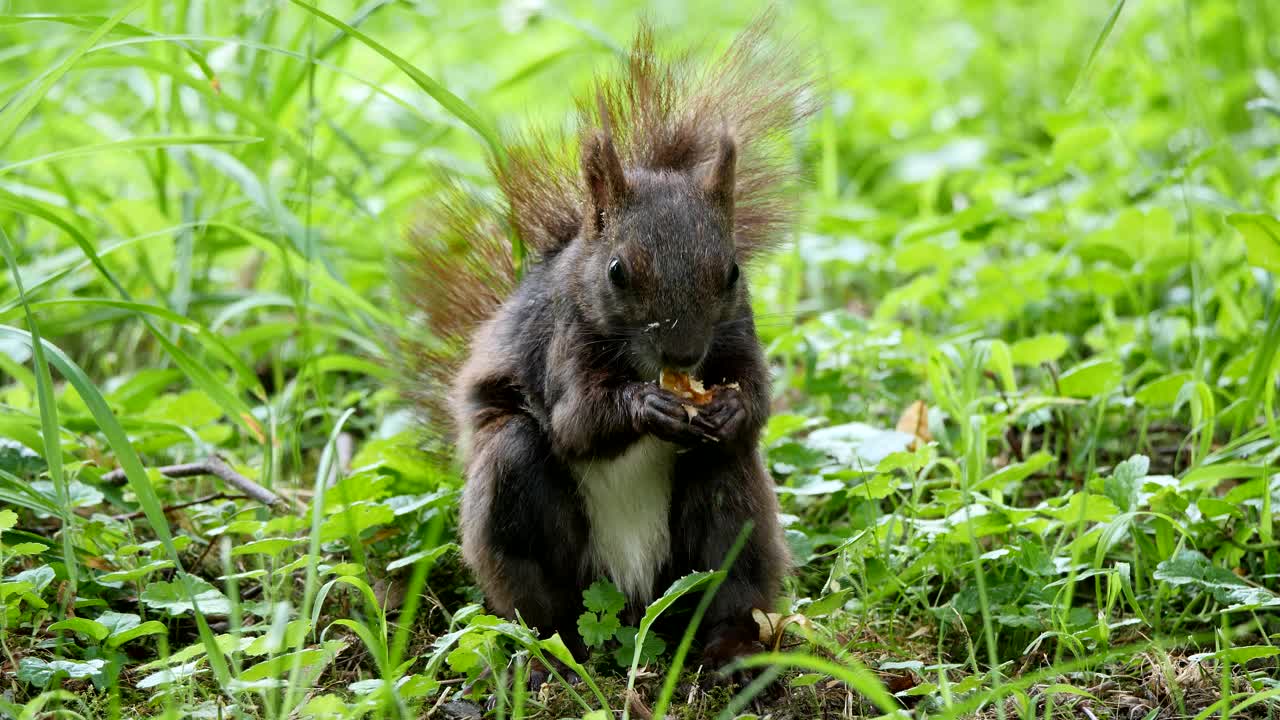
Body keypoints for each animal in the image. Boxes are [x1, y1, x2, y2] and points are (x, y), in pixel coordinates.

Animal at [404, 14, 814, 681]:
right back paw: (550, 657)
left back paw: (731, 649)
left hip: (724, 528)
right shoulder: (560, 345)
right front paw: (644, 407)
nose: (684, 356)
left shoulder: (737, 334)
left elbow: (756, 398)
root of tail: (632, 594)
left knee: (730, 551)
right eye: (618, 271)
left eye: (732, 272)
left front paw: (731, 407)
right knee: (540, 594)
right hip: (522, 517)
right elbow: (576, 423)